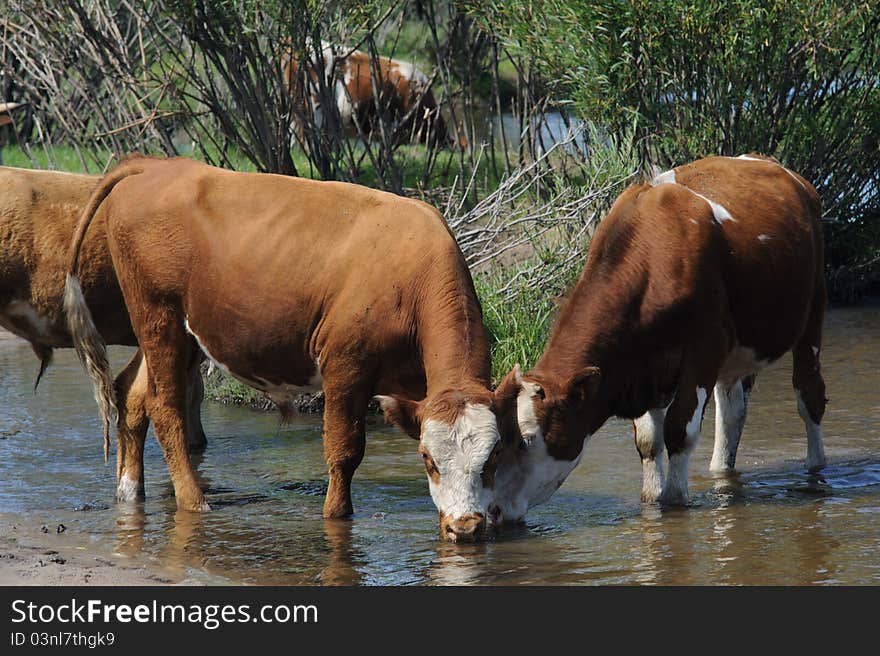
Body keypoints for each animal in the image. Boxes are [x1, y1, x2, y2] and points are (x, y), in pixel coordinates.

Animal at [67, 156, 516, 540]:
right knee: (165, 407)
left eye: (493, 456)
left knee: (131, 393)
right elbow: (345, 450)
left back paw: (129, 492)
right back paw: (194, 502)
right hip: (158, 318)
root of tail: (154, 165)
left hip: (184, 331)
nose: (465, 527)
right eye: (427, 459)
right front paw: (336, 516)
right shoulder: (345, 366)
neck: (411, 277)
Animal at [492, 154, 828, 524]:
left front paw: (675, 500)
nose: (495, 509)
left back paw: (815, 469)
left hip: (813, 309)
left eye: (526, 440)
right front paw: (652, 499)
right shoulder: (643, 367)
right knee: (732, 412)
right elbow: (649, 440)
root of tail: (785, 171)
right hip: (736, 355)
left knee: (809, 393)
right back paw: (721, 472)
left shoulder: (704, 349)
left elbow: (679, 430)